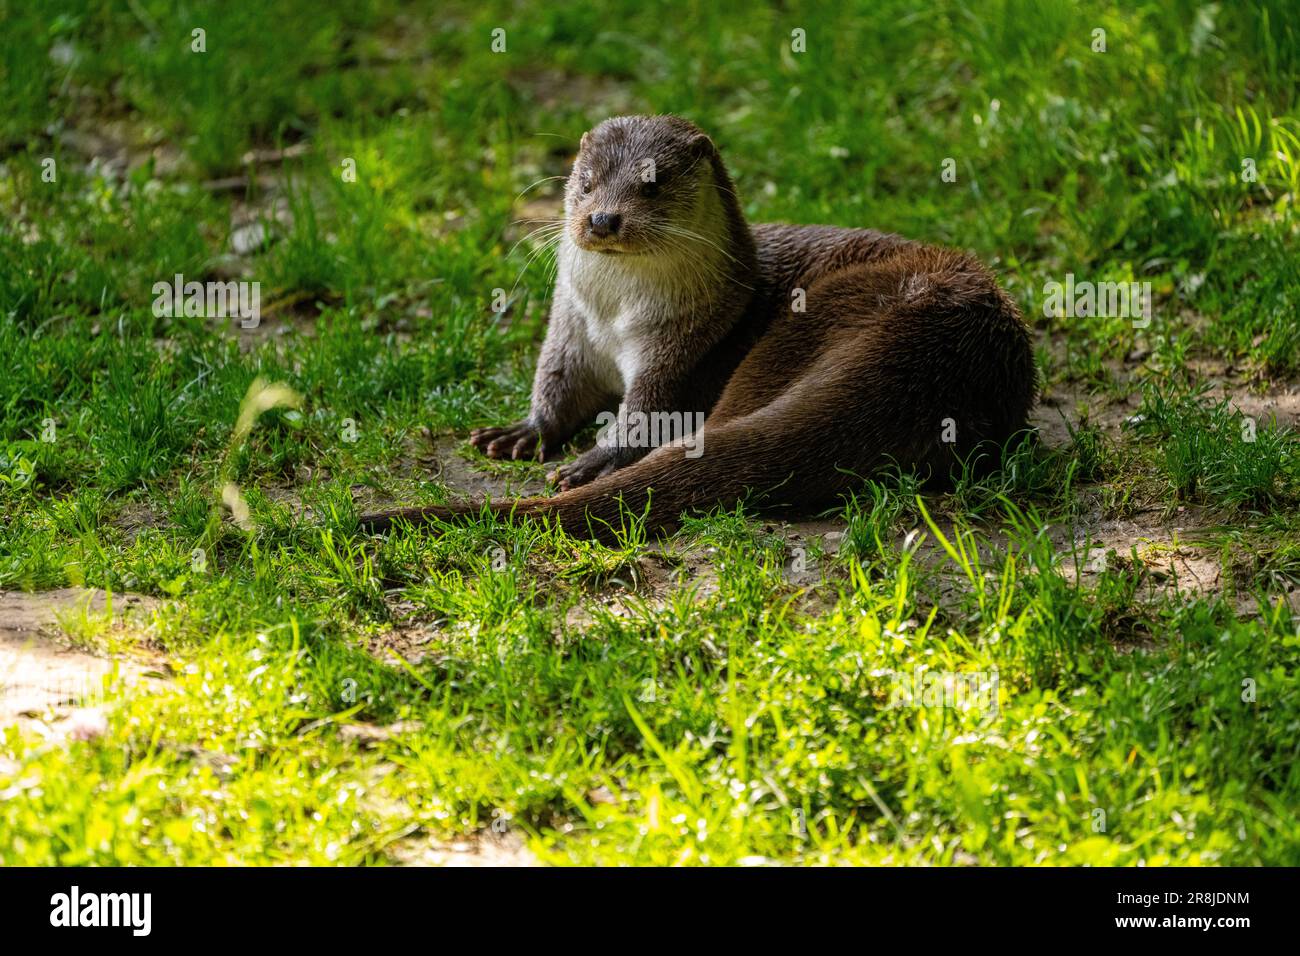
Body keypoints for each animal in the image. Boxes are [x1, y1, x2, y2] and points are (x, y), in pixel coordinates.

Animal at [358, 113, 1034, 538]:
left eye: (651, 184)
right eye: (585, 182)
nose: (602, 219)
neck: (616, 318)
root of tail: (942, 353)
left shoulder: (682, 348)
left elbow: (648, 409)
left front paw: (593, 460)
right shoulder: (570, 328)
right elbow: (556, 383)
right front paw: (525, 432)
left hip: (807, 324)